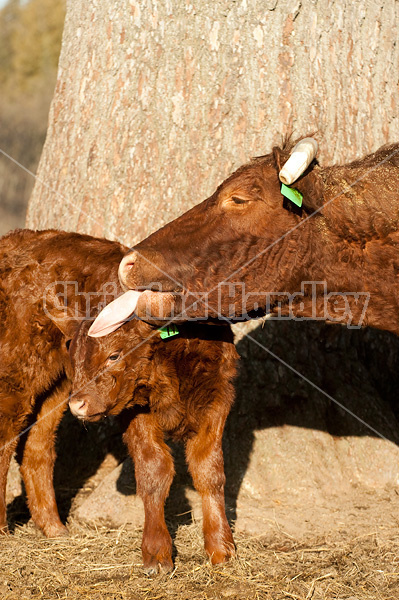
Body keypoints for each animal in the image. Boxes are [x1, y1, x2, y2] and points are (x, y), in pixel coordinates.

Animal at [68, 318, 238, 572]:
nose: (76, 404)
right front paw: (156, 553)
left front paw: (221, 547)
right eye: (72, 358)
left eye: (114, 356)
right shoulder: (136, 410)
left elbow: (209, 471)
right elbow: (154, 471)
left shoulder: (217, 395)